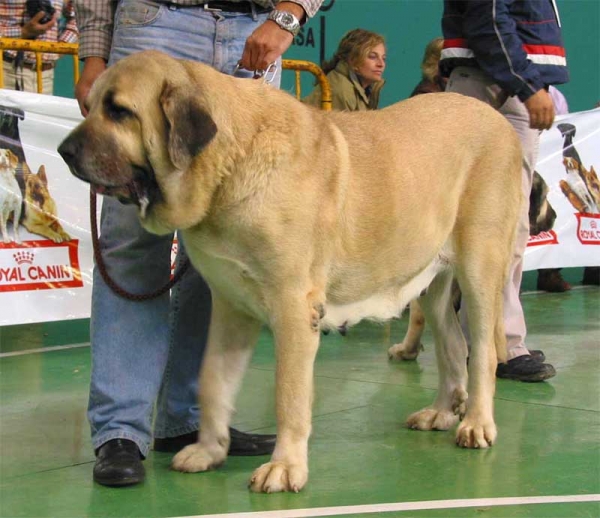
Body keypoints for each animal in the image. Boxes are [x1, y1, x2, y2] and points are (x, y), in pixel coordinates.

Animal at [58, 51, 524, 496]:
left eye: (119, 111)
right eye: (90, 105)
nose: (64, 151)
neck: (230, 162)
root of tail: (499, 121)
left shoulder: (293, 308)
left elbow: (289, 394)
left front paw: (285, 468)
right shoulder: (231, 306)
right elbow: (212, 381)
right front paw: (210, 450)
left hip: (479, 266)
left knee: (482, 351)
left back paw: (477, 423)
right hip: (433, 280)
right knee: (452, 344)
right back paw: (442, 411)